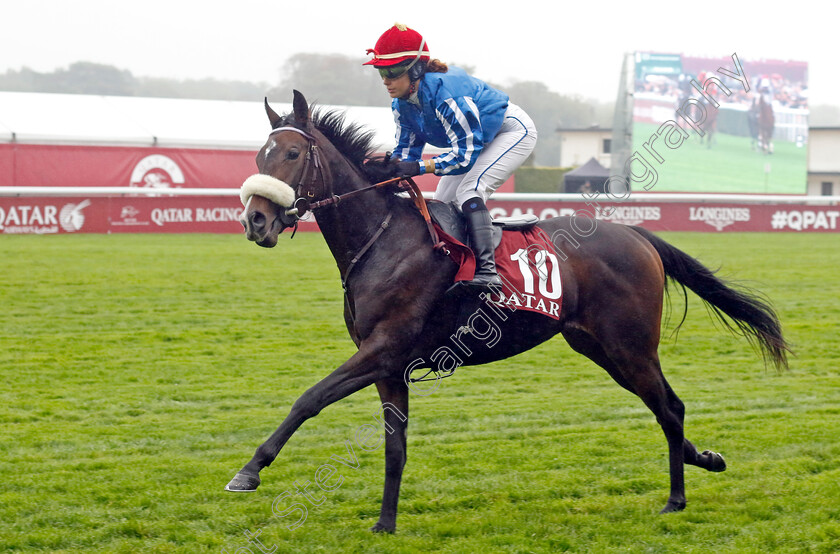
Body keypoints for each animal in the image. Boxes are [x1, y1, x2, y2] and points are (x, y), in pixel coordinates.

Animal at [230, 90, 788, 532]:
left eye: (293, 152)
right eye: (259, 154)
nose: (255, 220)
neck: (383, 240)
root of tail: (636, 234)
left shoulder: (382, 349)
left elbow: (309, 398)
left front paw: (249, 471)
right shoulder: (389, 366)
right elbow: (394, 447)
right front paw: (385, 523)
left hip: (630, 346)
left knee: (670, 408)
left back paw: (676, 498)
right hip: (599, 347)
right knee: (664, 406)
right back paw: (705, 459)